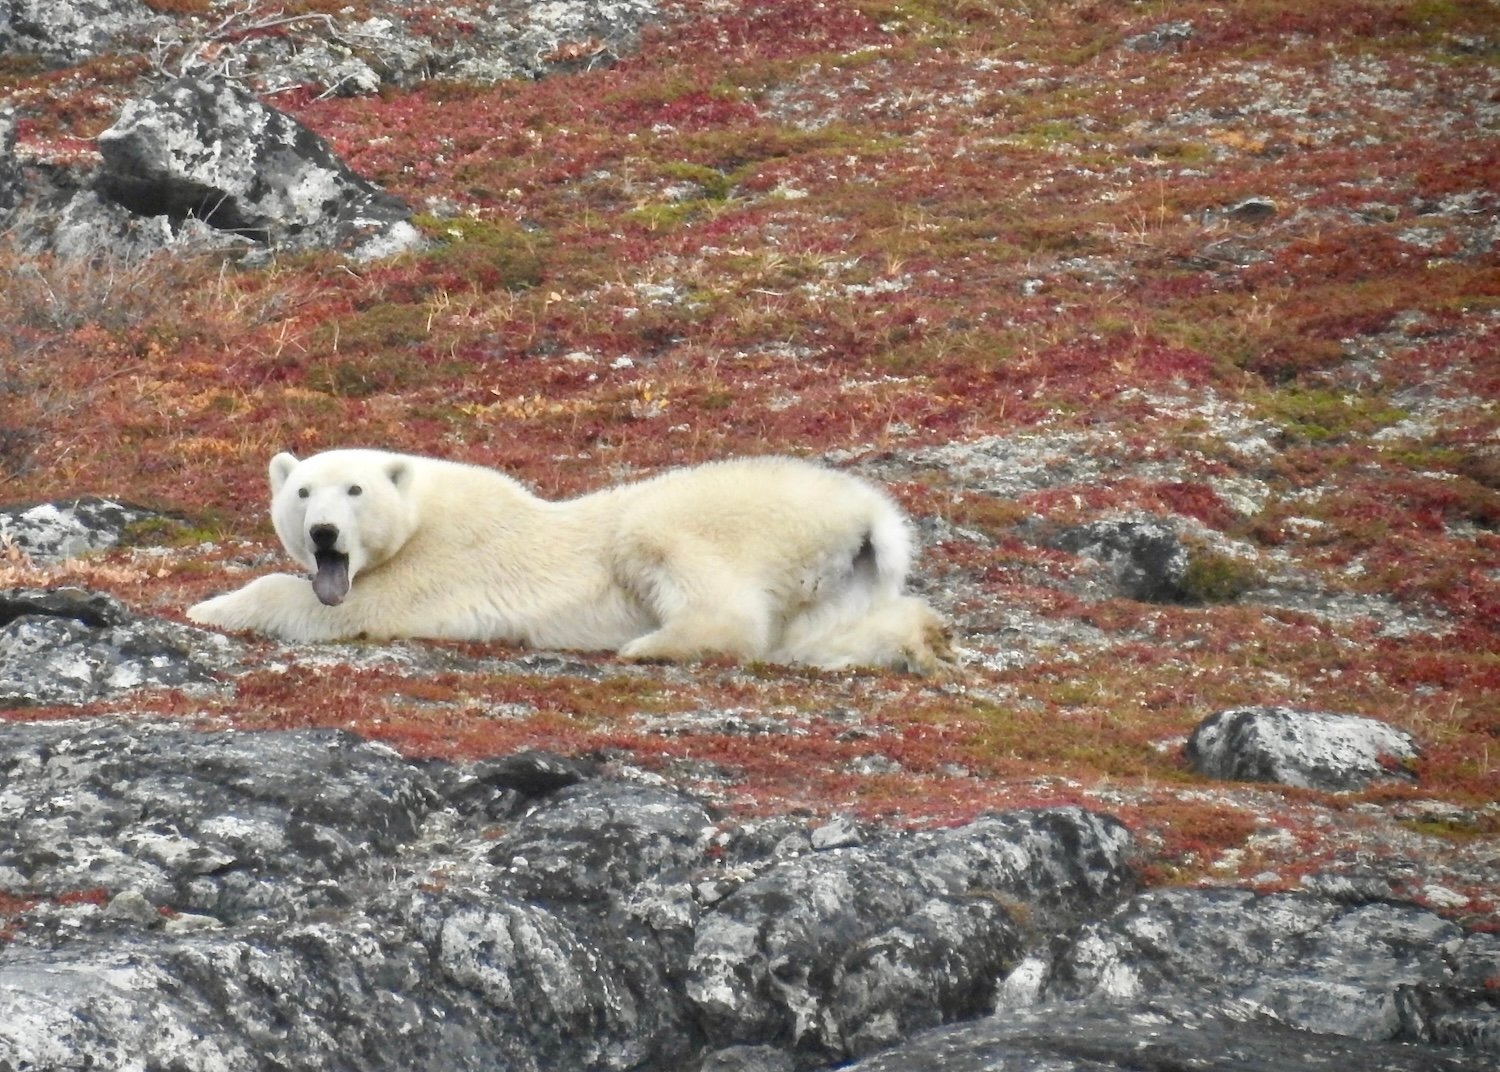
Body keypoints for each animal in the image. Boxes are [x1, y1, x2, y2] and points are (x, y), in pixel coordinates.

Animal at [190, 449, 960, 674]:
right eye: (301, 491)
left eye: (353, 489)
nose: (323, 534)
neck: (427, 509)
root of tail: (866, 512)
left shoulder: (437, 566)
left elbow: (354, 608)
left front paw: (210, 604)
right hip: (839, 576)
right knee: (820, 632)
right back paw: (920, 639)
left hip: (720, 517)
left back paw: (652, 643)